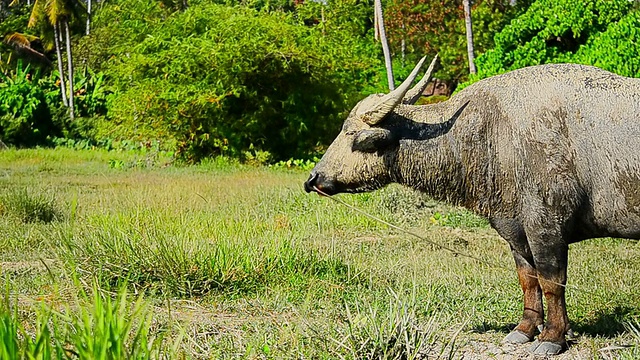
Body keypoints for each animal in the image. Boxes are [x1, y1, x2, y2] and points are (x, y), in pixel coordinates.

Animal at [304, 56, 640, 354]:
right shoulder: (516, 231)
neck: (492, 133)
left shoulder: (547, 227)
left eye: (350, 134)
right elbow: (527, 280)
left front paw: (553, 337)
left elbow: (551, 282)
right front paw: (525, 329)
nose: (313, 178)